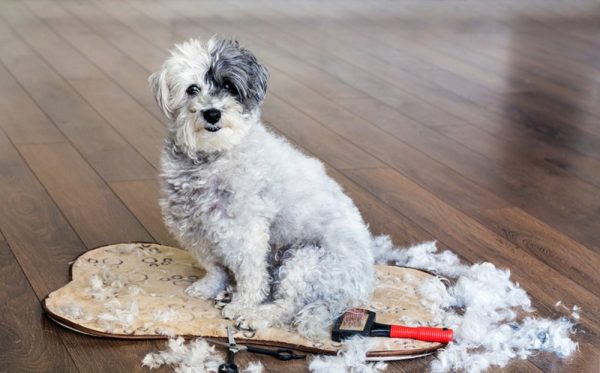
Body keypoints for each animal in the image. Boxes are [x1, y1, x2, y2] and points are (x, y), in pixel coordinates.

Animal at [149, 38, 394, 340]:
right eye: (192, 89)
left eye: (229, 86)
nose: (212, 113)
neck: (215, 155)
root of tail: (358, 290)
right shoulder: (194, 229)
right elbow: (214, 267)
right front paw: (210, 287)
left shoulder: (246, 232)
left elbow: (251, 274)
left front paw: (243, 304)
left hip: (305, 260)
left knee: (288, 305)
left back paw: (255, 316)